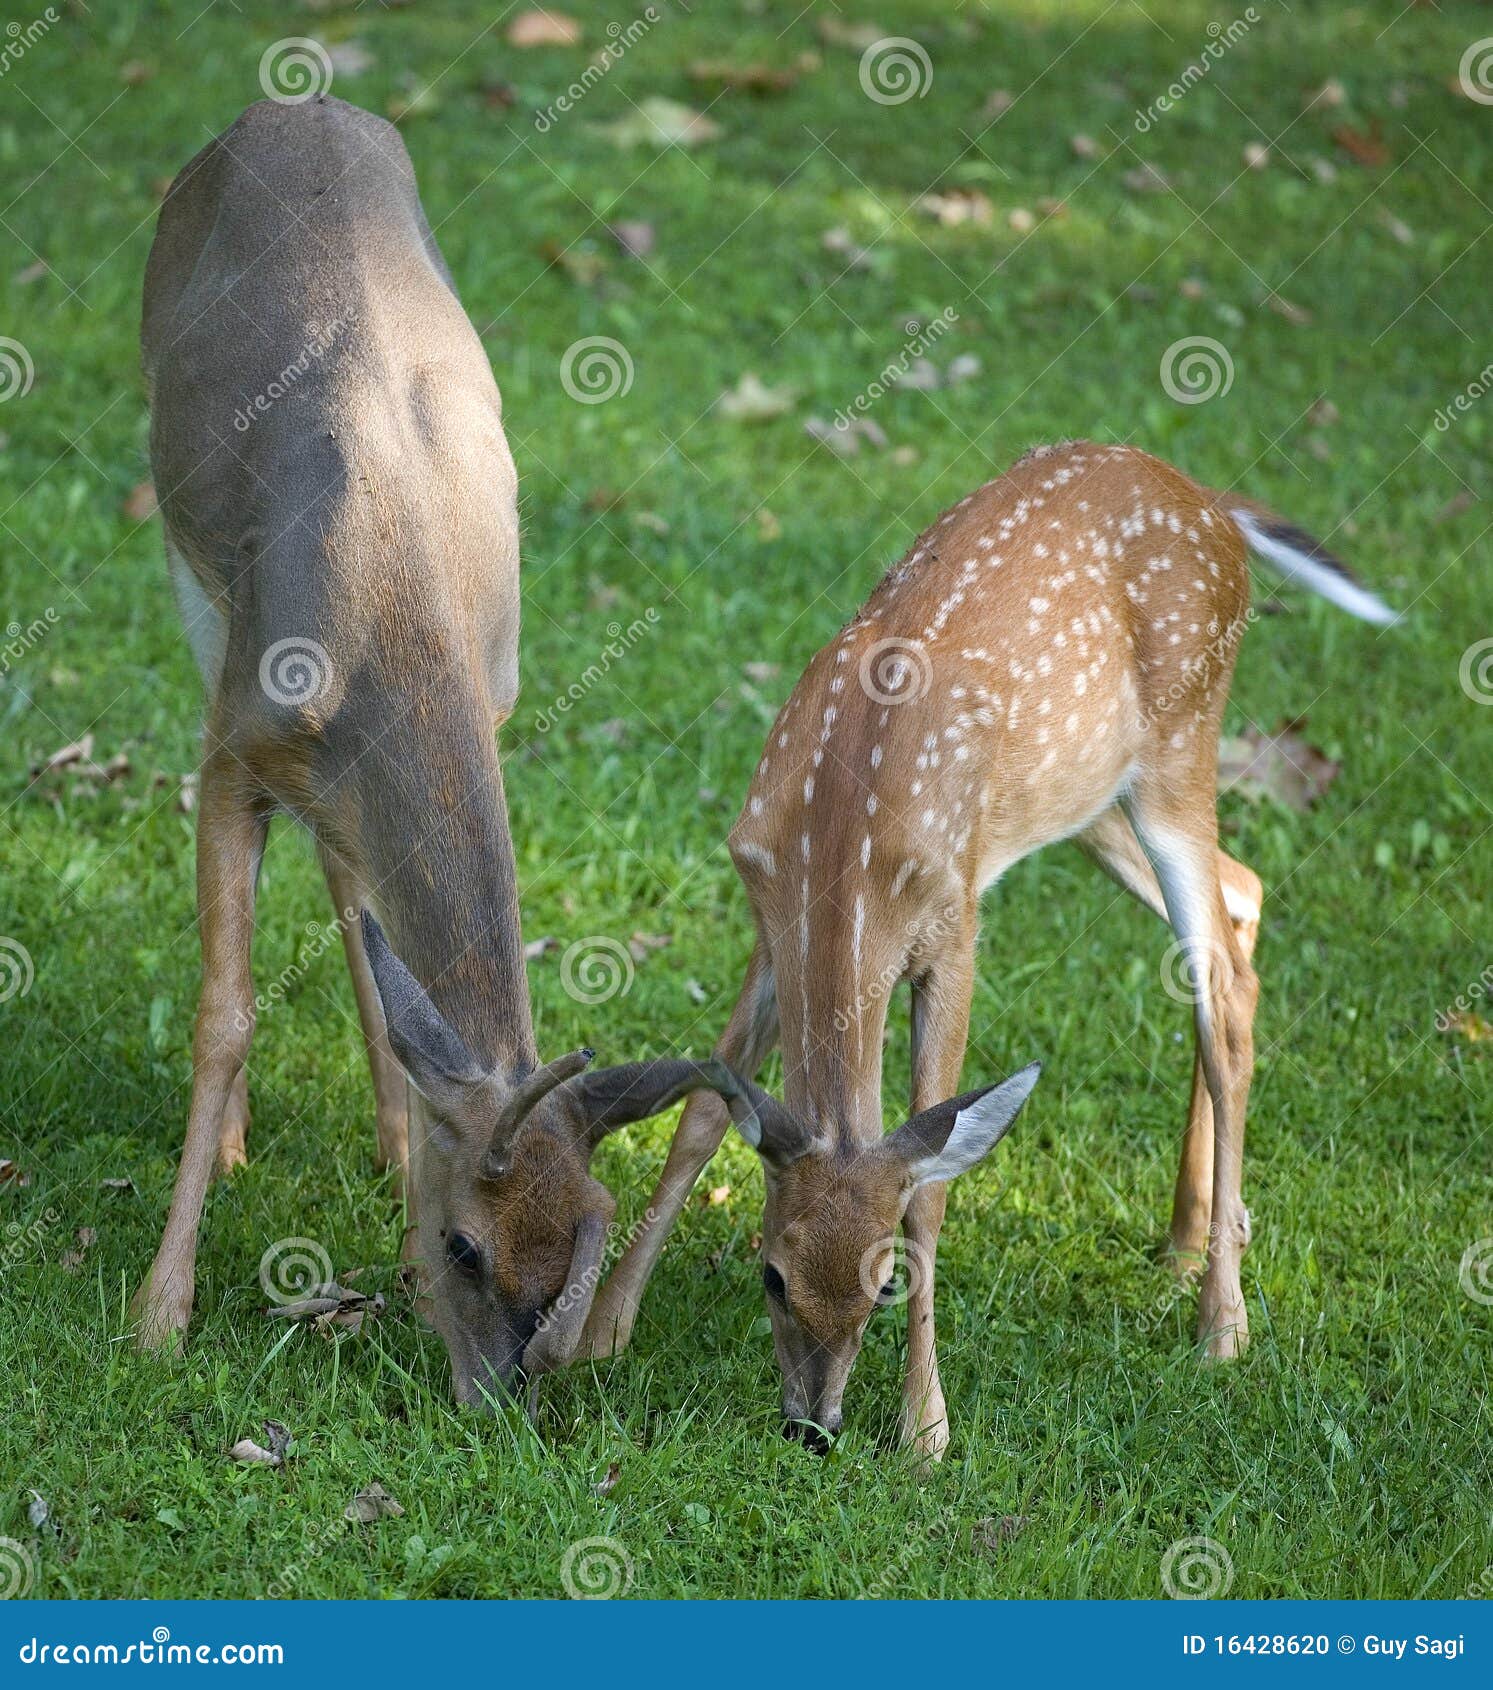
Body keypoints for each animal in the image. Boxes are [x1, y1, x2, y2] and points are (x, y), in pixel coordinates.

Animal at [136, 98, 723, 1406]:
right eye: (469, 1243)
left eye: (582, 1239)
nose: (501, 1403)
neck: (396, 609)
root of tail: (298, 100)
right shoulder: (233, 743)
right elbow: (223, 1009)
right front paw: (159, 1312)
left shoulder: (489, 696)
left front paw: (395, 1191)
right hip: (191, 577)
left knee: (353, 894)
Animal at [588, 439, 1400, 1453]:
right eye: (770, 1272)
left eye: (883, 1286)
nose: (813, 1426)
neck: (842, 835)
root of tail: (1214, 503)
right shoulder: (768, 916)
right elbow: (702, 1111)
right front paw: (599, 1332)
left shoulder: (954, 927)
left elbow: (930, 1187)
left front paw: (925, 1432)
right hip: (1090, 796)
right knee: (1242, 902)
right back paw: (1185, 1241)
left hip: (1182, 743)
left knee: (1224, 998)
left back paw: (1222, 1324)